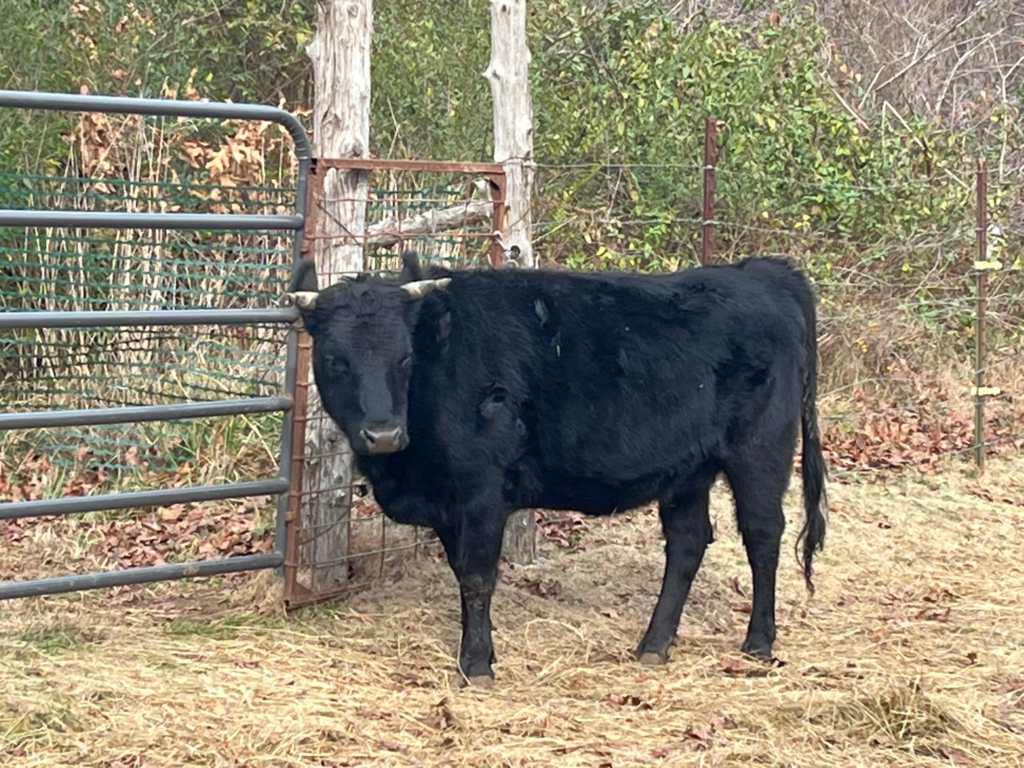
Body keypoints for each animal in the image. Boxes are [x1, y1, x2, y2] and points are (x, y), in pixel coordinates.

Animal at [283, 252, 827, 688]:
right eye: (334, 359)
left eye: (405, 357)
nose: (384, 434)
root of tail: (761, 271)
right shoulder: (447, 505)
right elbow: (463, 573)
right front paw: (480, 651)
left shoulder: (481, 490)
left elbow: (477, 577)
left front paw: (476, 666)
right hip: (687, 468)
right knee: (689, 543)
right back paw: (654, 644)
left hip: (760, 451)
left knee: (763, 536)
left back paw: (758, 642)